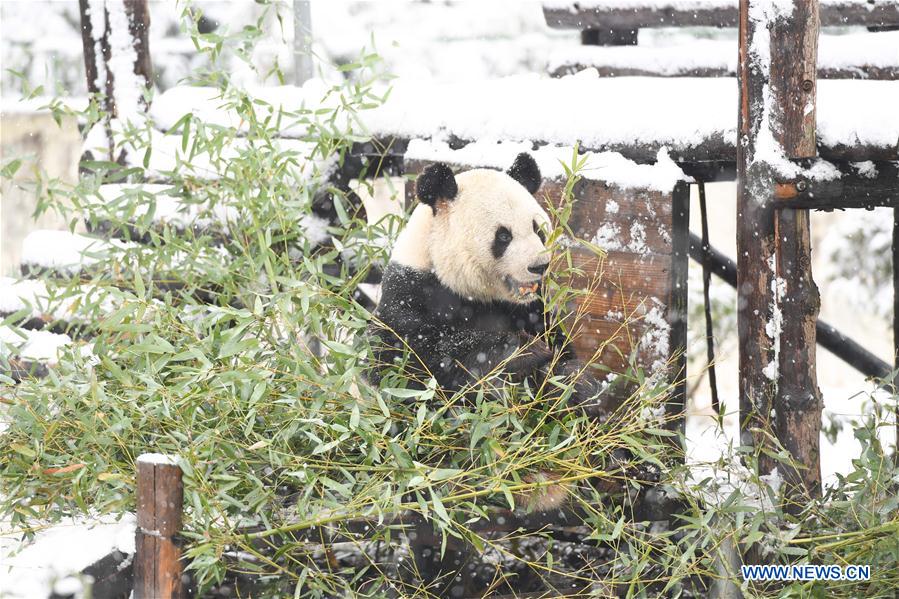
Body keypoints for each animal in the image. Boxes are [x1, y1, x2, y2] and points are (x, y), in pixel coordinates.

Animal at [368, 155, 612, 418]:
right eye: (503, 236)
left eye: (537, 229)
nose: (539, 266)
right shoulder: (411, 293)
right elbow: (408, 361)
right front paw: (524, 351)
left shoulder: (533, 309)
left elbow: (563, 357)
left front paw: (572, 383)